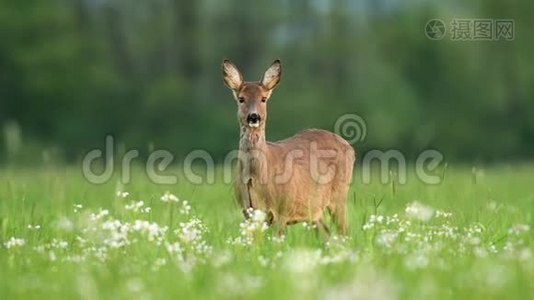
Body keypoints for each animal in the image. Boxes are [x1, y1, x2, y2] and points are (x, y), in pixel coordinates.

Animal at [222, 59, 356, 234]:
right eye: (241, 98)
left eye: (263, 99)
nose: (254, 116)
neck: (256, 176)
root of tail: (350, 147)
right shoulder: (248, 212)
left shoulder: (282, 210)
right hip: (315, 211)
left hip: (339, 196)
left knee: (344, 231)